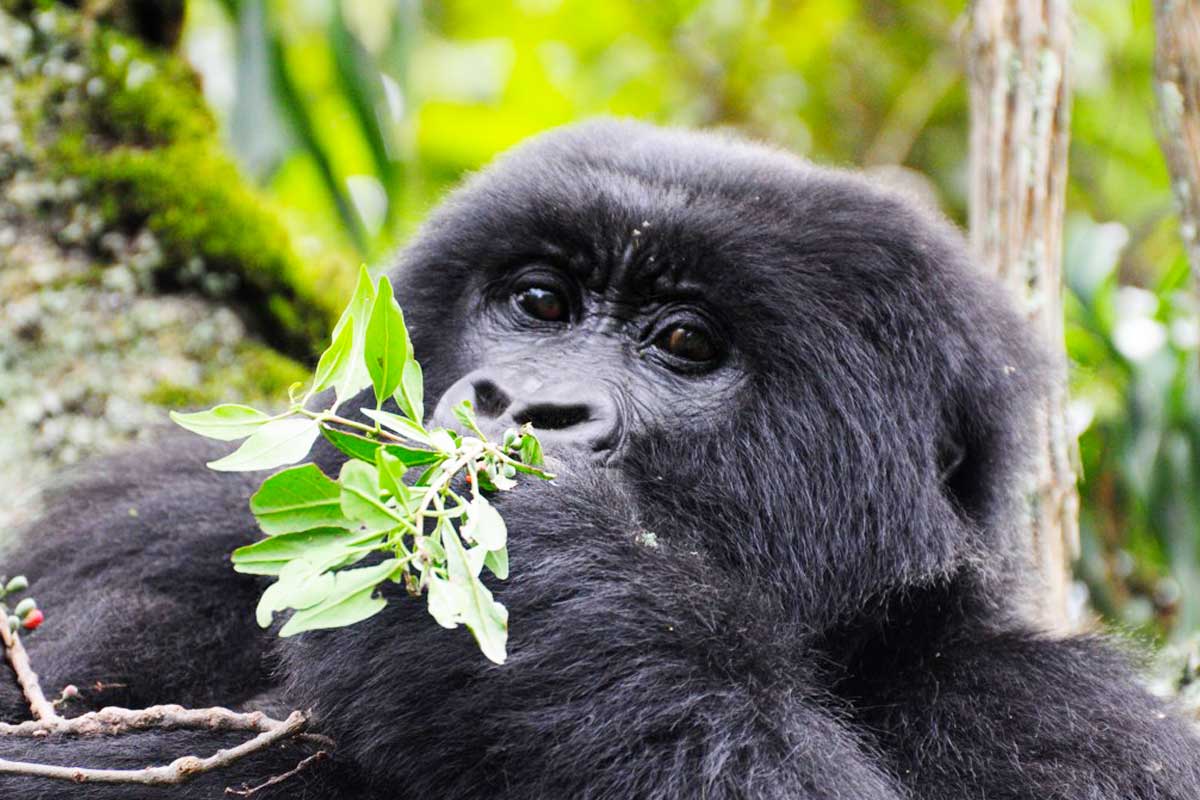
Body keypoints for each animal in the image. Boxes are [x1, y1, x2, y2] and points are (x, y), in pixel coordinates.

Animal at [2, 120, 1200, 800]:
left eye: (685, 343)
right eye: (540, 301)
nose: (524, 406)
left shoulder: (1072, 727)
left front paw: (558, 585)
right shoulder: (158, 524)